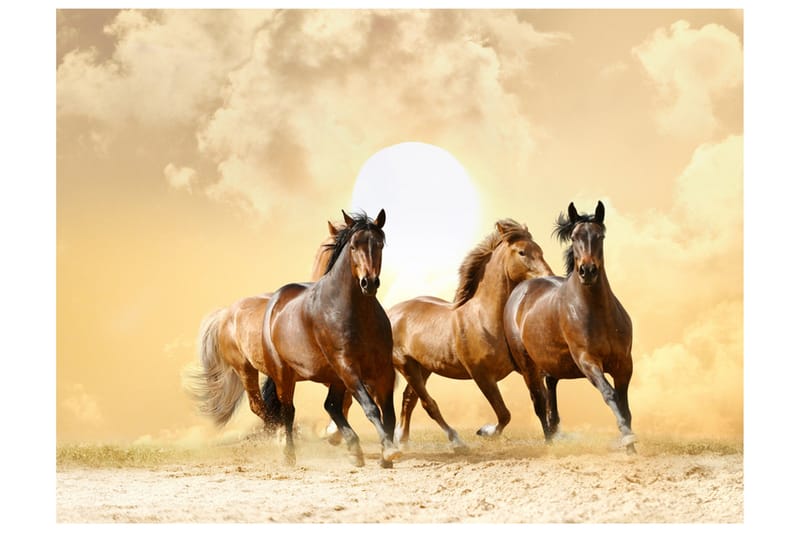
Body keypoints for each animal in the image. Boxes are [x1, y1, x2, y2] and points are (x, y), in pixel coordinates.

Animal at [257, 209, 399, 468]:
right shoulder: (348, 367)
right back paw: (289, 455)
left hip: (335, 377)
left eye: (380, 244)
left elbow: (389, 414)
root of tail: (276, 300)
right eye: (353, 246)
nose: (369, 283)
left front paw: (387, 455)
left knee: (331, 405)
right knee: (288, 410)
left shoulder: (383, 370)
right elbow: (371, 408)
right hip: (285, 374)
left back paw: (354, 450)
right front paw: (390, 450)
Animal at [388, 219, 554, 451]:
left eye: (540, 250)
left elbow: (541, 403)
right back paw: (456, 441)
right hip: (406, 365)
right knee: (428, 404)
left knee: (408, 400)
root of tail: (390, 312)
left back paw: (402, 441)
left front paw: (553, 439)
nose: (548, 277)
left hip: (423, 367)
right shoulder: (482, 376)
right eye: (522, 252)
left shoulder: (526, 369)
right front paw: (485, 432)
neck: (485, 318)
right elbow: (504, 414)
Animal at [503, 201, 636, 453]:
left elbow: (625, 405)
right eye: (574, 237)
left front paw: (632, 448)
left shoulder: (624, 364)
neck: (598, 313)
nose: (587, 271)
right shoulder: (587, 360)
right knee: (538, 402)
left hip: (552, 362)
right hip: (528, 366)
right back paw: (549, 444)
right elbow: (610, 394)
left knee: (550, 393)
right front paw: (627, 438)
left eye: (600, 236)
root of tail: (520, 290)